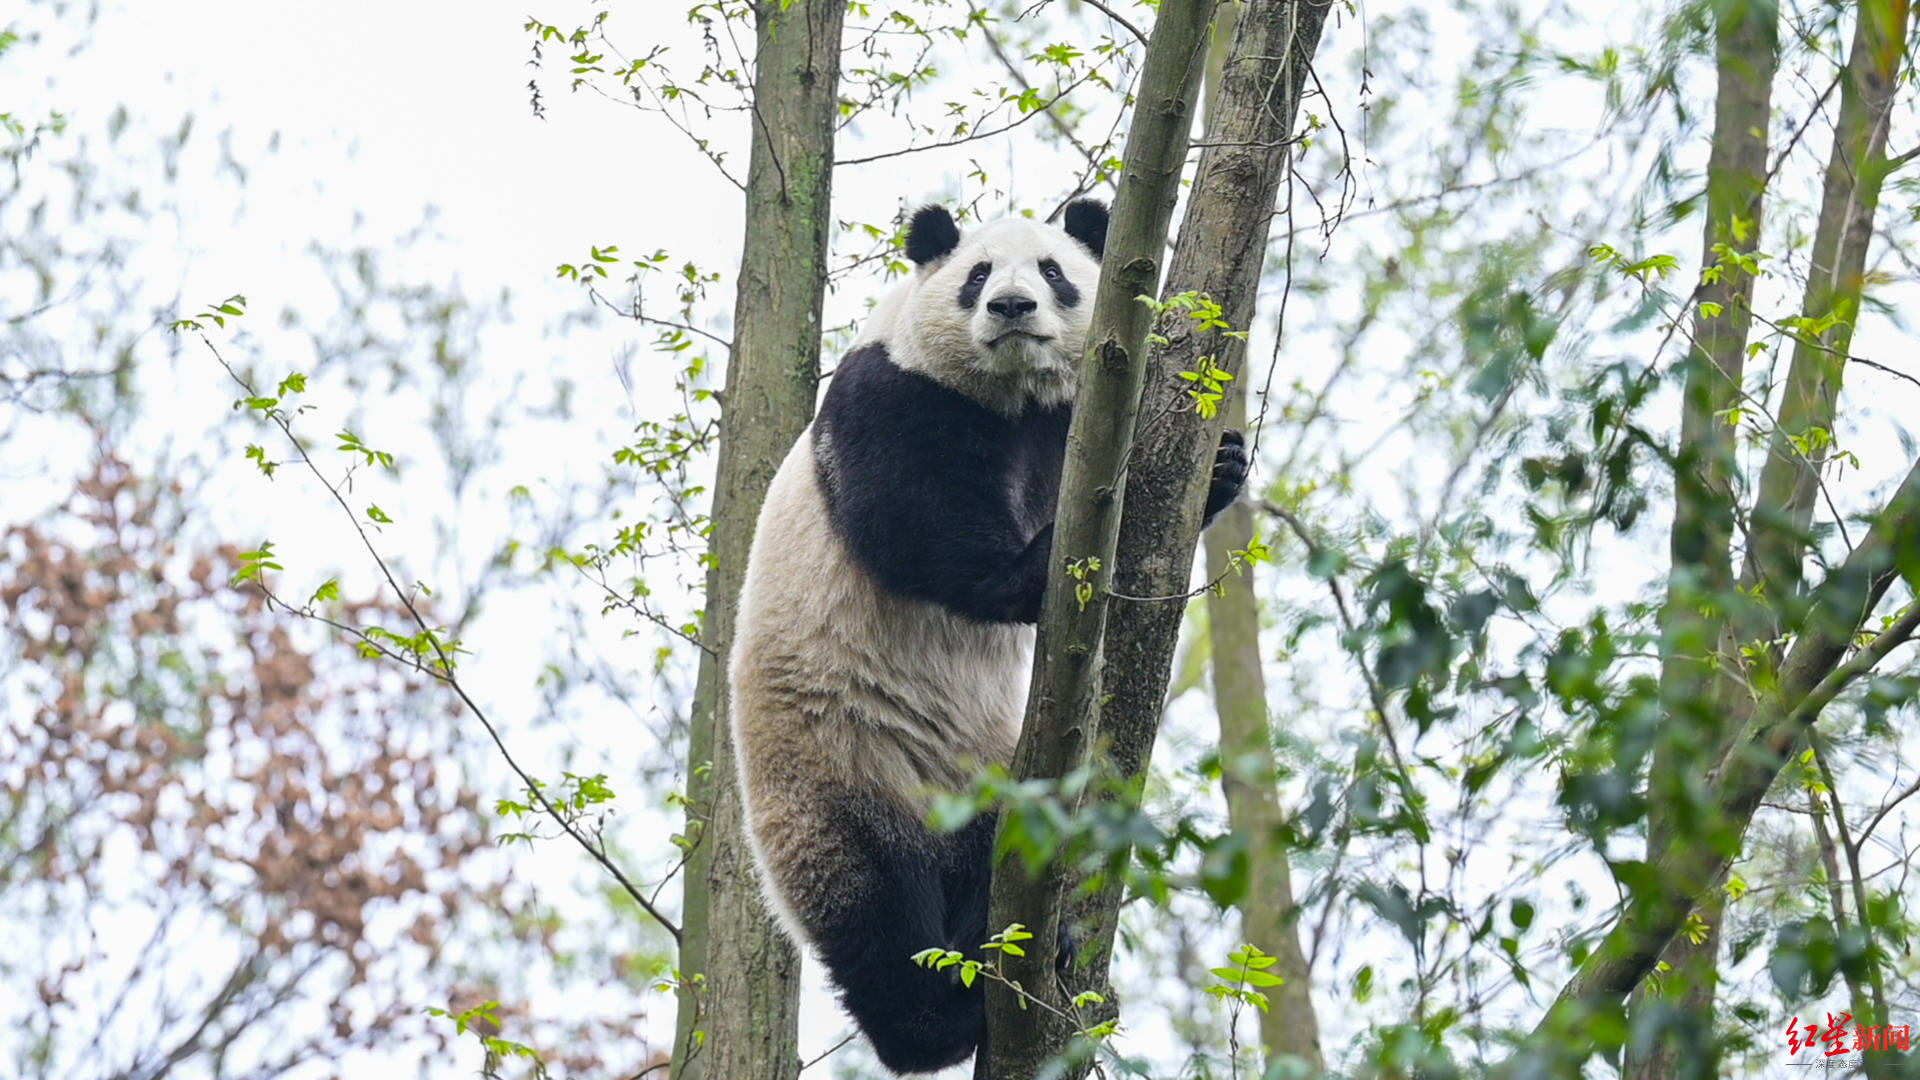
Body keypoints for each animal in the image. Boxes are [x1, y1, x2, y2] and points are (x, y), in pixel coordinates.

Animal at [725, 195, 1251, 1068]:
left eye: (1052, 271)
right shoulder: (894, 395)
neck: (1013, 398)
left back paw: (1023, 945)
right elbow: (917, 526)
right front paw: (1036, 565)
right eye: (976, 276)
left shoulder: (1079, 421)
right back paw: (942, 1016)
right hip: (837, 768)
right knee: (878, 914)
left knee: (991, 854)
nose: (1011, 307)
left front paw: (1222, 469)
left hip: (986, 772)